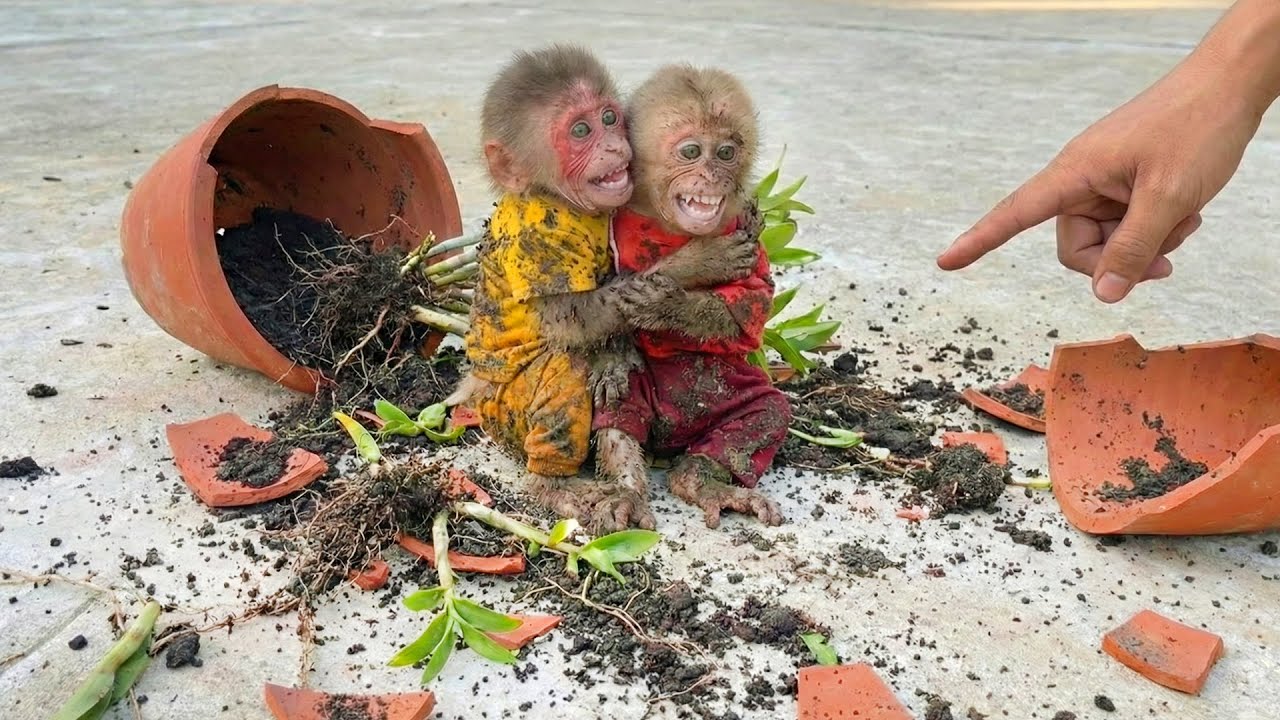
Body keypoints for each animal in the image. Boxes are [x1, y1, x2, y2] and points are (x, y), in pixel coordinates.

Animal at [590, 64, 792, 530]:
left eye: (726, 153)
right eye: (691, 152)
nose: (713, 175)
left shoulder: (750, 240)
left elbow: (747, 310)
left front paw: (665, 305)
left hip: (728, 395)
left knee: (768, 411)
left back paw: (701, 481)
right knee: (620, 408)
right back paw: (628, 488)